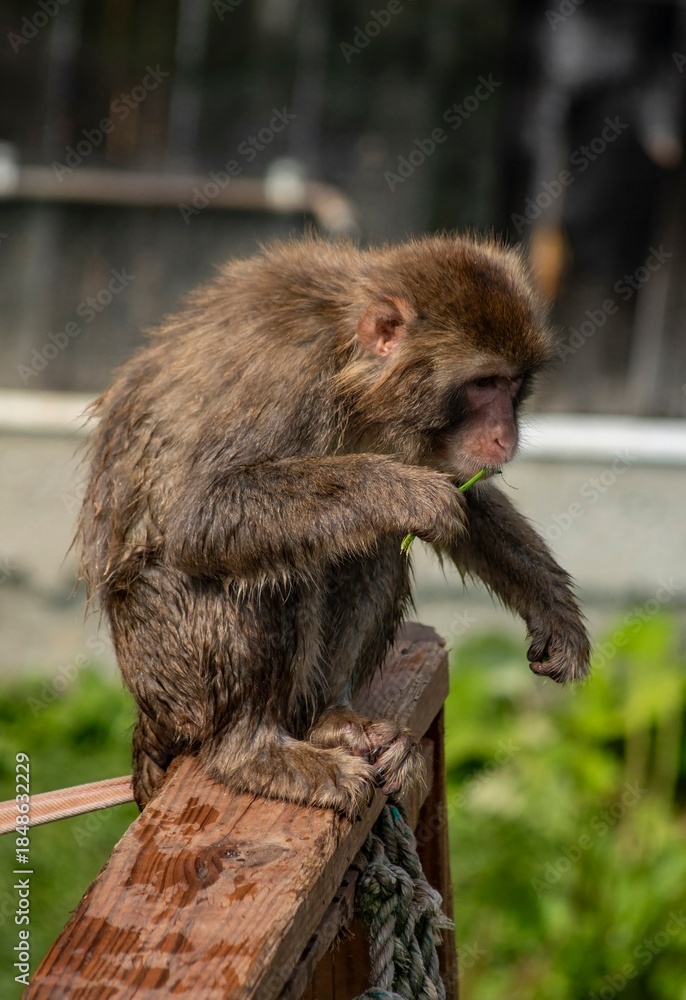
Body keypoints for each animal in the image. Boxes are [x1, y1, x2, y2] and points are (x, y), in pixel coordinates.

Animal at [76, 232, 591, 818]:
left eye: (514, 383)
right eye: (484, 383)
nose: (507, 435)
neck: (350, 367)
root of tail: (148, 715)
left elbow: (466, 498)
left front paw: (552, 608)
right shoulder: (287, 376)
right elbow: (201, 515)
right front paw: (403, 492)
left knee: (368, 548)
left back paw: (330, 718)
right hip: (170, 665)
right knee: (266, 574)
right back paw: (251, 751)